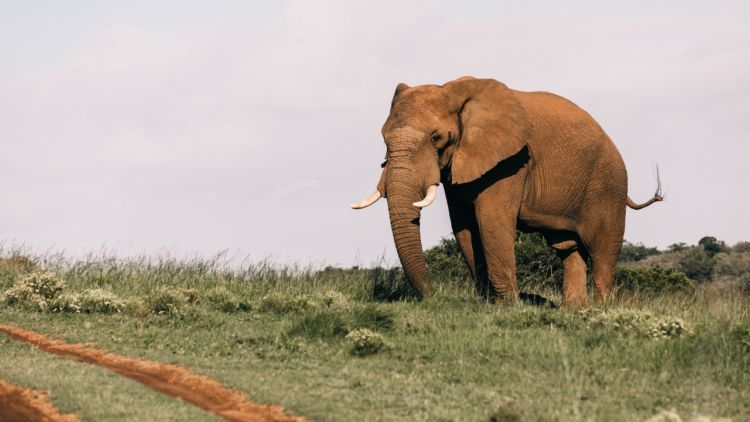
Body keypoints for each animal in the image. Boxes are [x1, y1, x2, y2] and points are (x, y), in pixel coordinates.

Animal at [352, 76, 664, 306]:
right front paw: (487, 303)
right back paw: (573, 311)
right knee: (568, 249)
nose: (433, 297)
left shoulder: (511, 162)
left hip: (608, 185)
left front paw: (505, 307)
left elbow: (492, 221)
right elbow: (464, 226)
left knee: (602, 251)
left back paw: (600, 310)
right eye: (383, 138)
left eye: (437, 138)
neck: (453, 91)